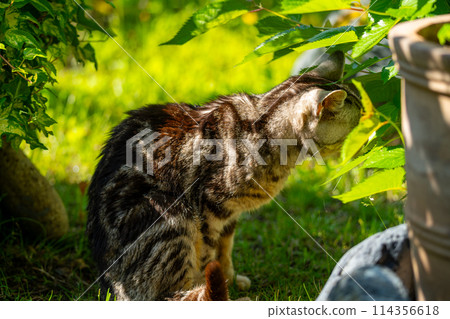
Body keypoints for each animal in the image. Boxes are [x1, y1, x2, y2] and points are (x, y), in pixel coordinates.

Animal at [87, 51, 362, 302]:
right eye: (352, 131)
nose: (360, 146)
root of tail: (112, 286)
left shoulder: (229, 214)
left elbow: (225, 251)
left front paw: (230, 279)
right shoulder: (208, 209)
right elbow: (208, 258)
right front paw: (220, 294)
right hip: (172, 213)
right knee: (164, 296)